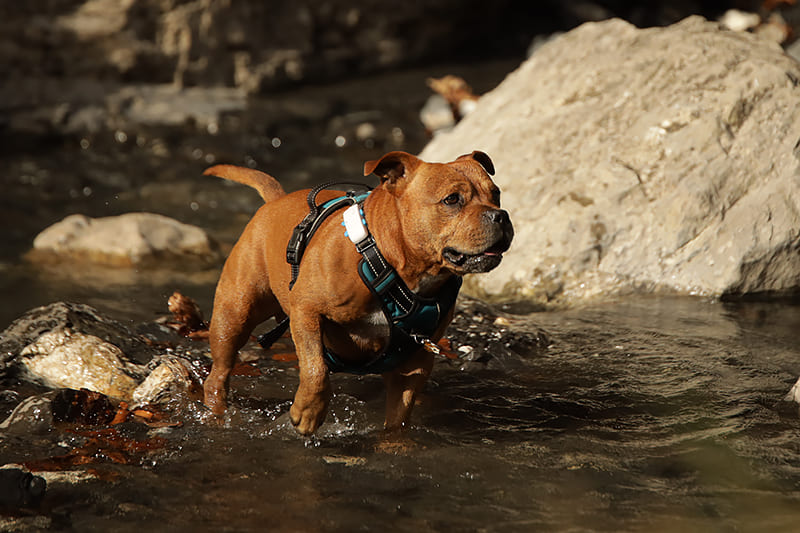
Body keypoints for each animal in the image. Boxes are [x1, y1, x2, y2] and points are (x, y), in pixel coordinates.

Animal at [200, 150, 512, 432]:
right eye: (452, 199)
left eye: (496, 194)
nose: (500, 216)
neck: (389, 261)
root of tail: (276, 200)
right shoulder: (306, 310)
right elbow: (316, 369)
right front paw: (308, 410)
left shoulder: (414, 363)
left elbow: (398, 420)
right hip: (234, 315)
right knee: (219, 374)